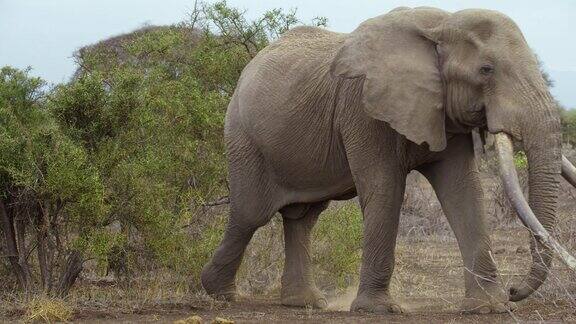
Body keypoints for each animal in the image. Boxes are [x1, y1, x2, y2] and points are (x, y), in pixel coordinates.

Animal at [199, 5, 576, 314]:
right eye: (486, 70)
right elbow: (385, 190)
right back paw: (219, 294)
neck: (441, 24)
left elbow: (464, 191)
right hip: (243, 138)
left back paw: (303, 303)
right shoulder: (363, 108)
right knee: (250, 214)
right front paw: (378, 309)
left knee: (303, 218)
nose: (514, 290)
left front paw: (488, 308)